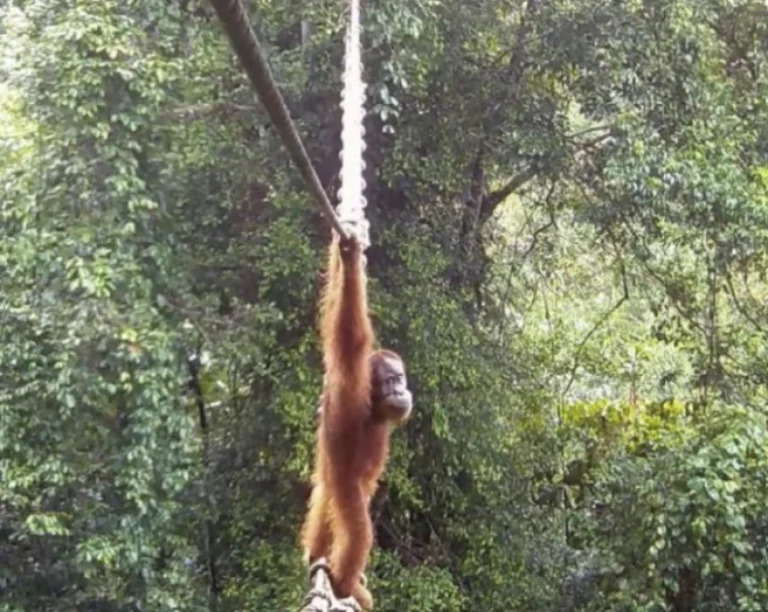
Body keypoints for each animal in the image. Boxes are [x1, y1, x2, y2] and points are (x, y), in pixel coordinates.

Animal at [300, 233, 412, 610]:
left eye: (401, 379)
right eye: (391, 381)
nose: (402, 391)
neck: (373, 408)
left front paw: (346, 255)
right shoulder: (352, 381)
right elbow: (350, 333)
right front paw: (350, 260)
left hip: (328, 484)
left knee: (323, 504)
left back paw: (317, 559)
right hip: (344, 488)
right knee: (358, 529)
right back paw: (344, 582)